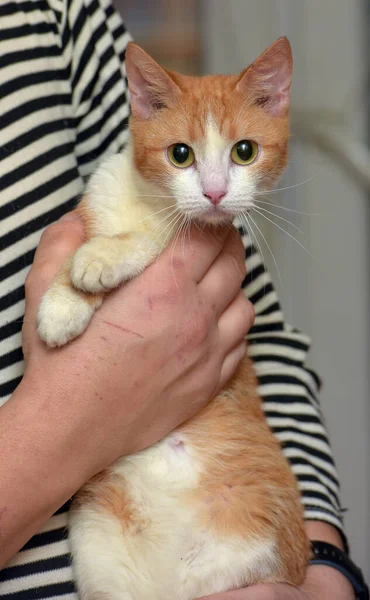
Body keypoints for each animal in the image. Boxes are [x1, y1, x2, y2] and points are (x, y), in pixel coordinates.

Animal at [36, 38, 310, 600]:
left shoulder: (209, 233)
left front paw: (100, 261)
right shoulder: (95, 203)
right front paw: (62, 302)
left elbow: (152, 243)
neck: (150, 205)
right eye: (180, 154)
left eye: (244, 151)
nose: (214, 192)